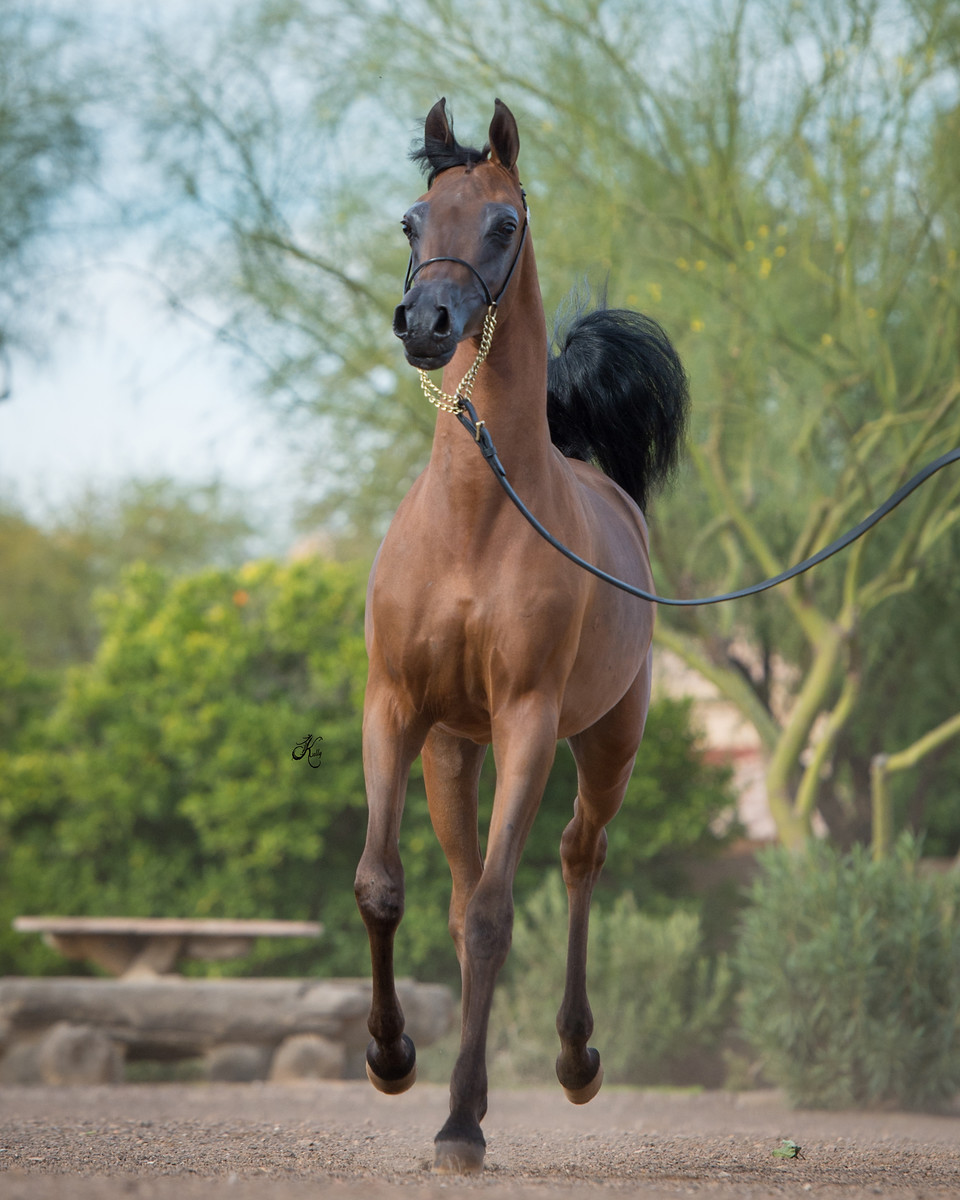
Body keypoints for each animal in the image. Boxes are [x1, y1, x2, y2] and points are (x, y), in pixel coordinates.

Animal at [354, 97, 689, 1174]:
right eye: (413, 220)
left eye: (503, 223)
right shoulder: (396, 709)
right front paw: (391, 1060)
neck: (475, 518)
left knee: (579, 858)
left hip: (605, 742)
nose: (426, 323)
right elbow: (384, 887)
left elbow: (503, 915)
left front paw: (459, 1124)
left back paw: (575, 1061)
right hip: (455, 753)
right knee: (462, 900)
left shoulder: (530, 723)